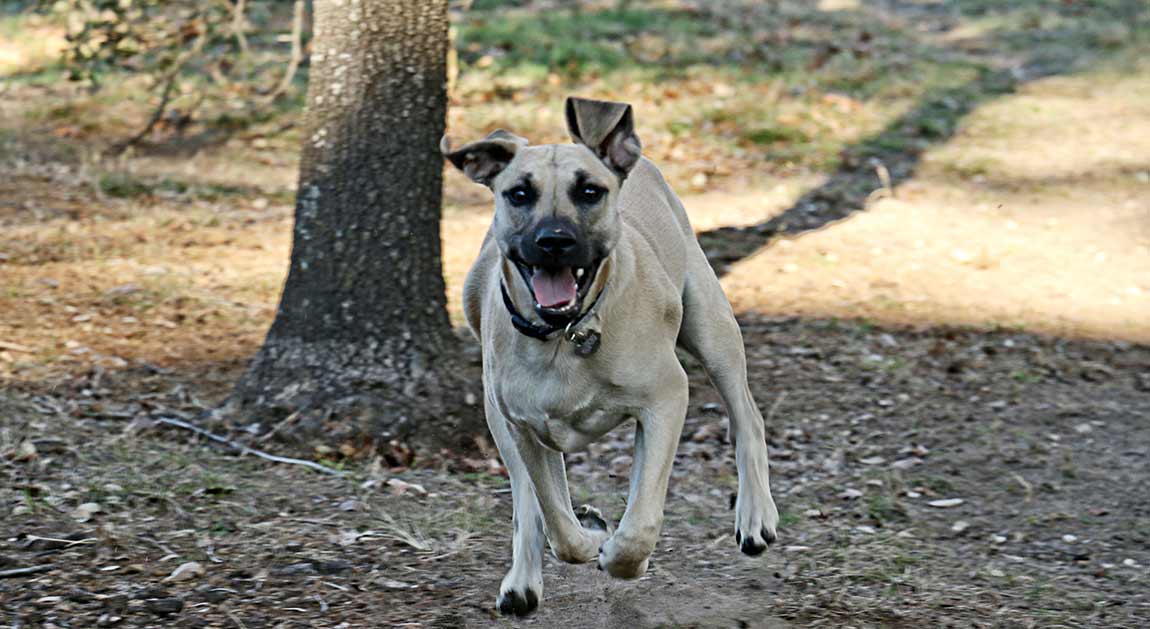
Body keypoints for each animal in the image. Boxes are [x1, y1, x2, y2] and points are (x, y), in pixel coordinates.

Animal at [439, 97, 782, 616]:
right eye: (519, 193)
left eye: (589, 191)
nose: (554, 241)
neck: (565, 335)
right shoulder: (524, 429)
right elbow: (556, 521)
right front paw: (589, 532)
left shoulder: (665, 399)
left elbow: (640, 522)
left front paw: (624, 558)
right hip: (498, 418)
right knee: (526, 501)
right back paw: (524, 579)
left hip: (711, 326)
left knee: (747, 416)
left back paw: (755, 516)